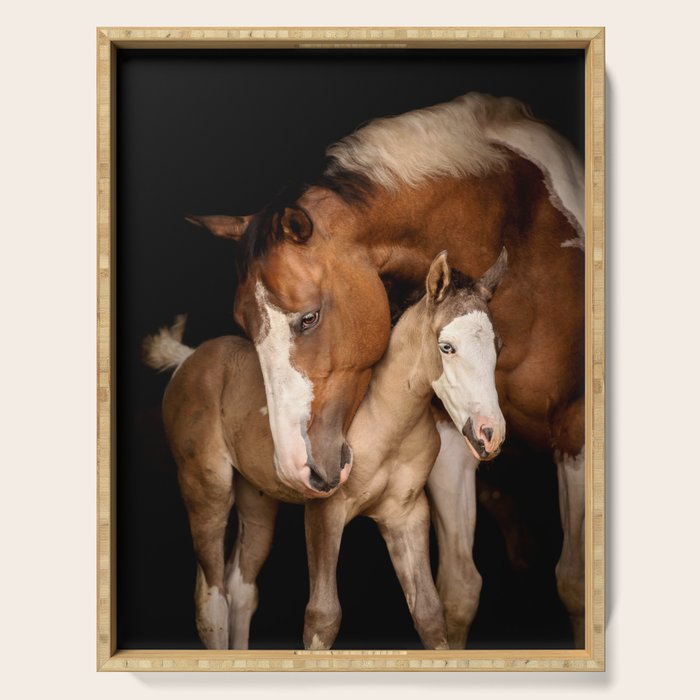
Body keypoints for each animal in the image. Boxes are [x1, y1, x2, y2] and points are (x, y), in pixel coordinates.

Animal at [144, 251, 507, 649]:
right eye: (447, 347)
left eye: (498, 347)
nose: (490, 433)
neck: (384, 419)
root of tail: (187, 359)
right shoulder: (325, 511)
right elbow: (322, 616)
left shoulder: (406, 514)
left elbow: (429, 613)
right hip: (206, 487)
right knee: (212, 600)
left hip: (256, 498)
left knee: (241, 588)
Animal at [187, 92, 586, 646]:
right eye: (243, 327)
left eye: (309, 317)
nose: (294, 466)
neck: (525, 231)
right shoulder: (451, 435)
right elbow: (458, 590)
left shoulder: (575, 428)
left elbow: (573, 584)